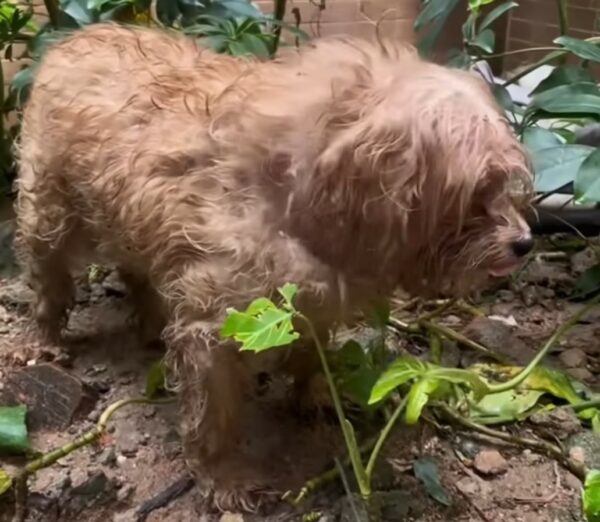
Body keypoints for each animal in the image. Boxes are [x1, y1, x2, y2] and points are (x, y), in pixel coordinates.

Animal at [14, 23, 532, 508]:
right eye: (479, 191)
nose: (525, 242)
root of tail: (74, 38)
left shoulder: (310, 303)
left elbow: (310, 352)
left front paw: (314, 393)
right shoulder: (213, 336)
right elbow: (214, 417)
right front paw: (221, 476)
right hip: (49, 216)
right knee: (49, 279)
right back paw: (48, 339)